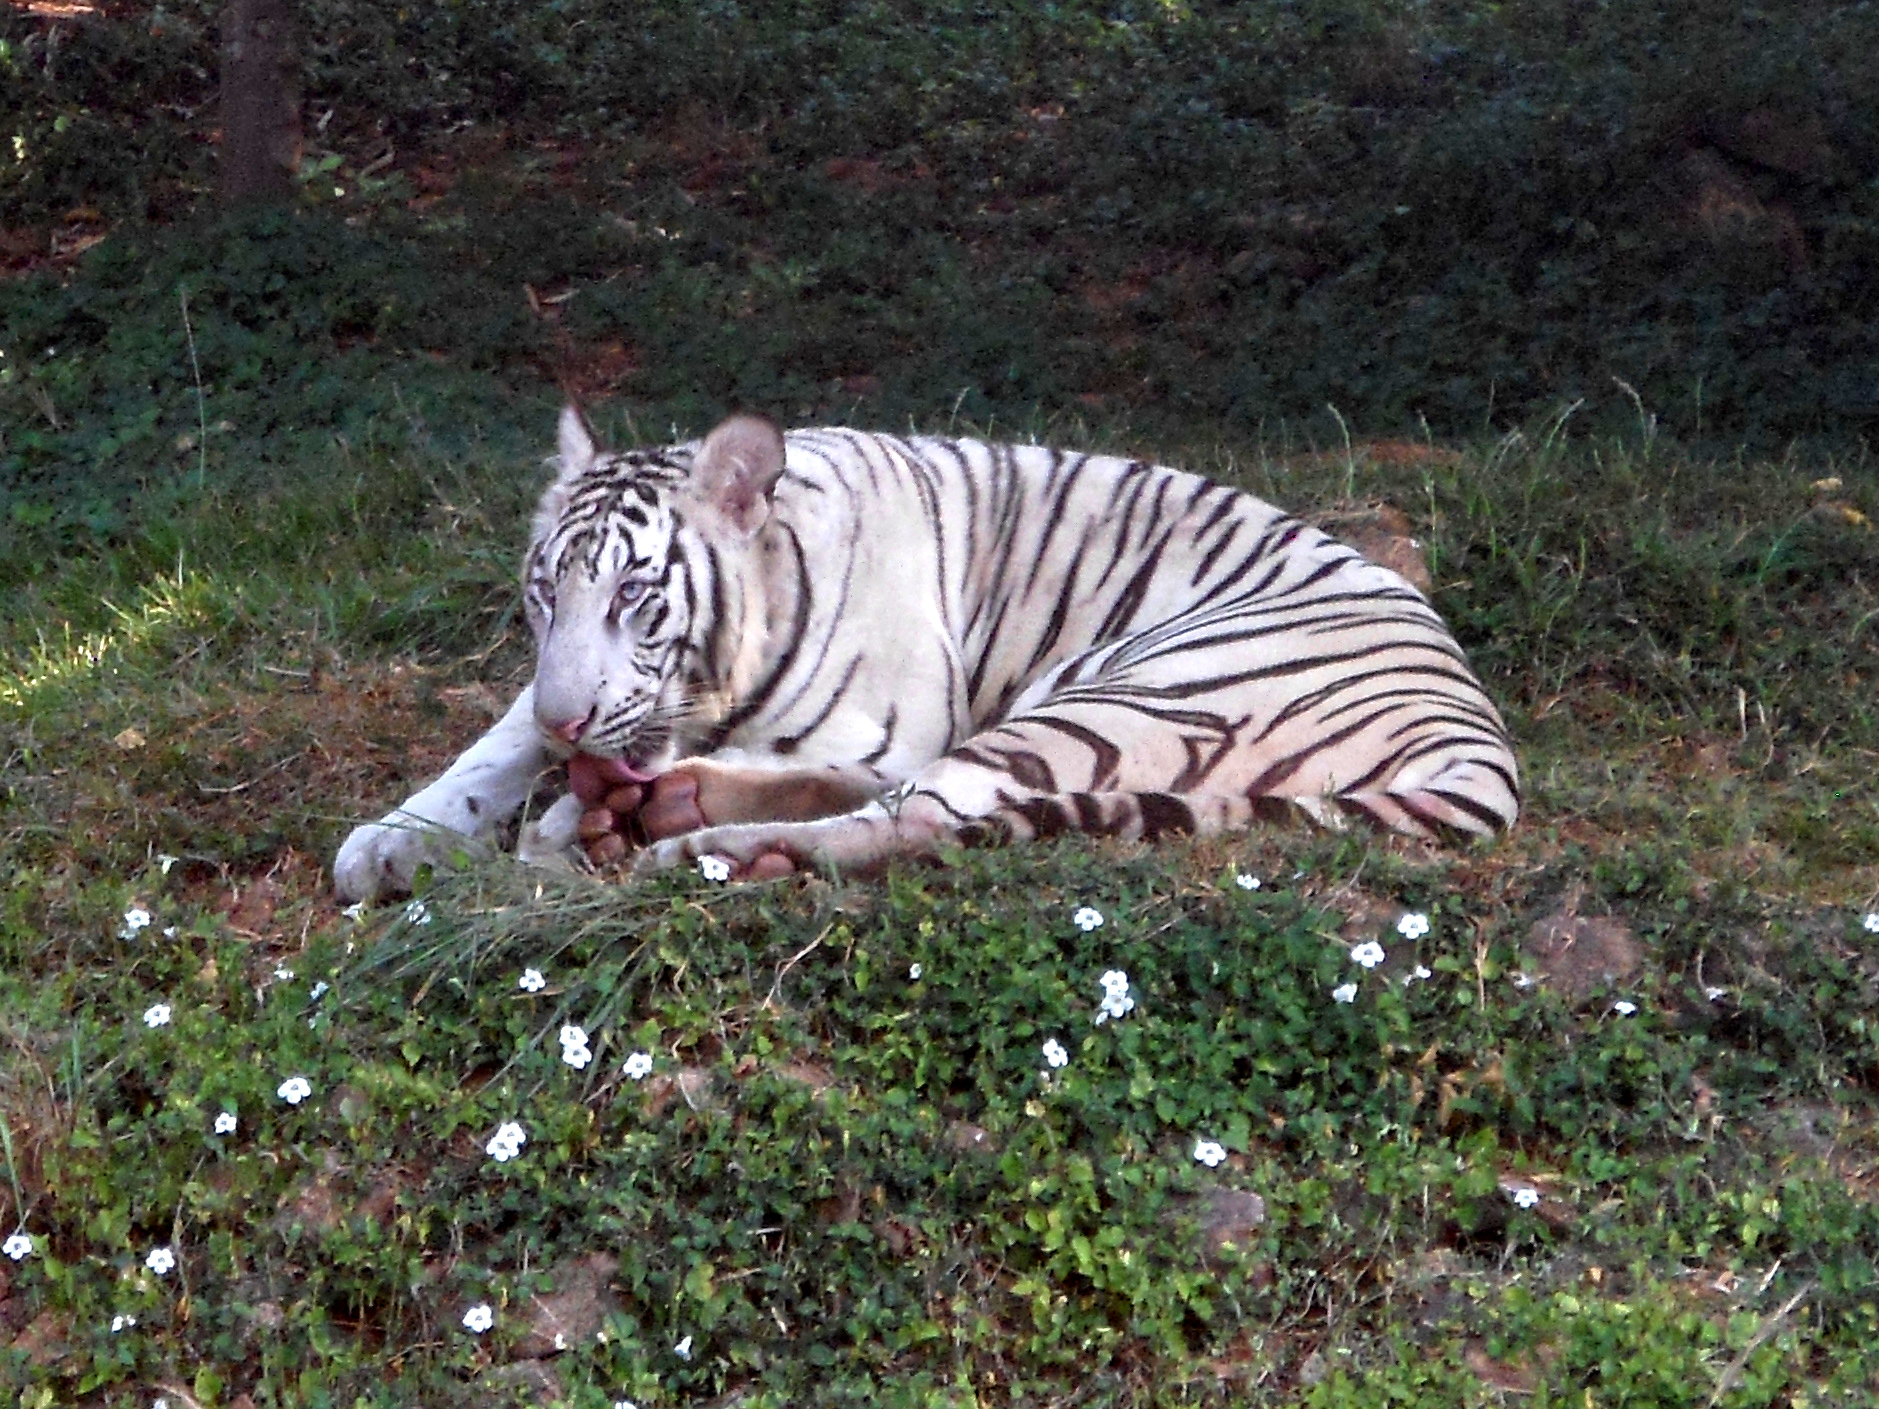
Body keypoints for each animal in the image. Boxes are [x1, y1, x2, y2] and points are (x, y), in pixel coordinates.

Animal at [330, 405, 1518, 905]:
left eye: (633, 595)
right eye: (544, 594)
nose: (573, 723)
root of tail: (1475, 734)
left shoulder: (879, 718)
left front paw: (560, 822)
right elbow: (495, 746)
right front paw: (390, 841)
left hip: (1121, 686)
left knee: (913, 814)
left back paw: (690, 839)